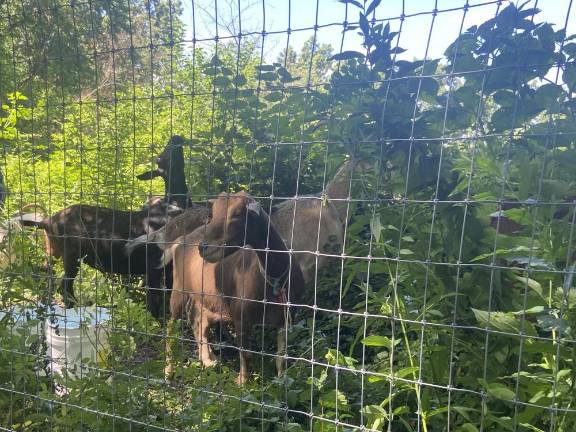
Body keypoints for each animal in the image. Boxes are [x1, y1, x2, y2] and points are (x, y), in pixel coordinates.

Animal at [165, 191, 306, 384]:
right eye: (213, 213)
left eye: (238, 214)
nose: (203, 247)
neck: (275, 279)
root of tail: (180, 241)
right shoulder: (241, 317)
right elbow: (245, 354)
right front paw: (242, 383)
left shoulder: (286, 316)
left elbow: (282, 357)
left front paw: (282, 381)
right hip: (179, 287)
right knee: (171, 323)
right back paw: (169, 370)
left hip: (205, 296)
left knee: (199, 320)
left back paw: (208, 360)